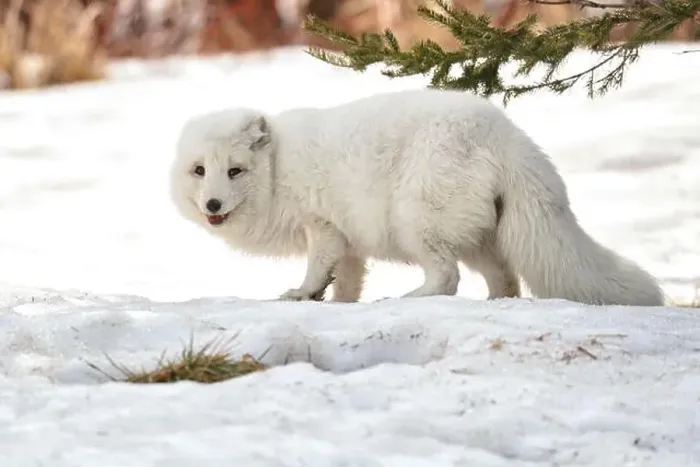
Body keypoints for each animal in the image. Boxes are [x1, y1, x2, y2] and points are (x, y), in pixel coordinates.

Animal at [169, 89, 665, 306]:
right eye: (200, 171)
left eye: (235, 171)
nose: (212, 206)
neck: (278, 168)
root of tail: (509, 136)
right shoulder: (348, 241)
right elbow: (348, 280)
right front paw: (340, 305)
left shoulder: (322, 226)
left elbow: (318, 269)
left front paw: (303, 294)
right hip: (480, 236)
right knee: (505, 280)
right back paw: (495, 306)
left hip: (417, 221)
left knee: (447, 278)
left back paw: (410, 298)